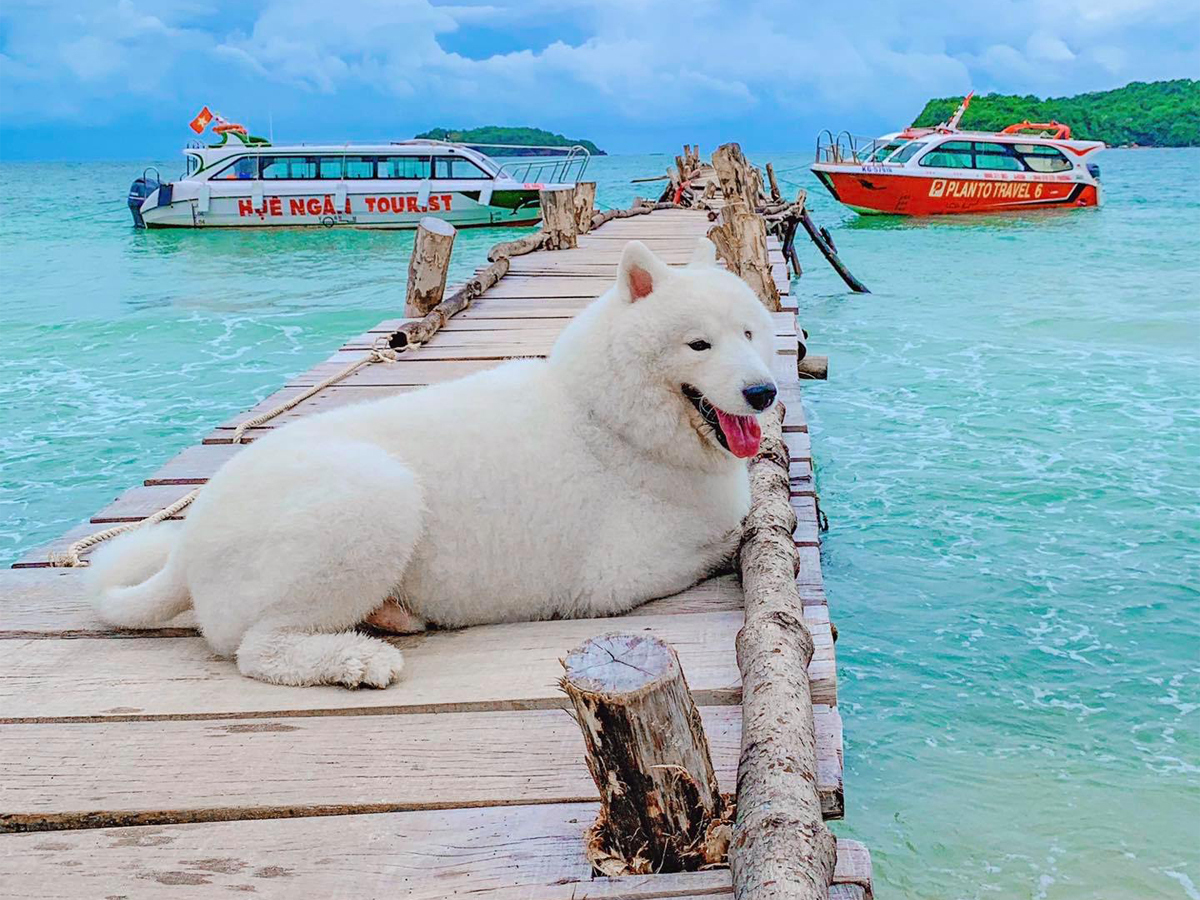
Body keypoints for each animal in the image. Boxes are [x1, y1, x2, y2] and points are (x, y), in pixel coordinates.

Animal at [87, 240, 777, 691]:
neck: (608, 420)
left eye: (750, 334)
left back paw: (389, 616)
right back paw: (357, 660)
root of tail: (186, 546)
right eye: (698, 345)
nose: (764, 392)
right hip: (373, 497)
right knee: (258, 648)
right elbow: (725, 537)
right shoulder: (617, 576)